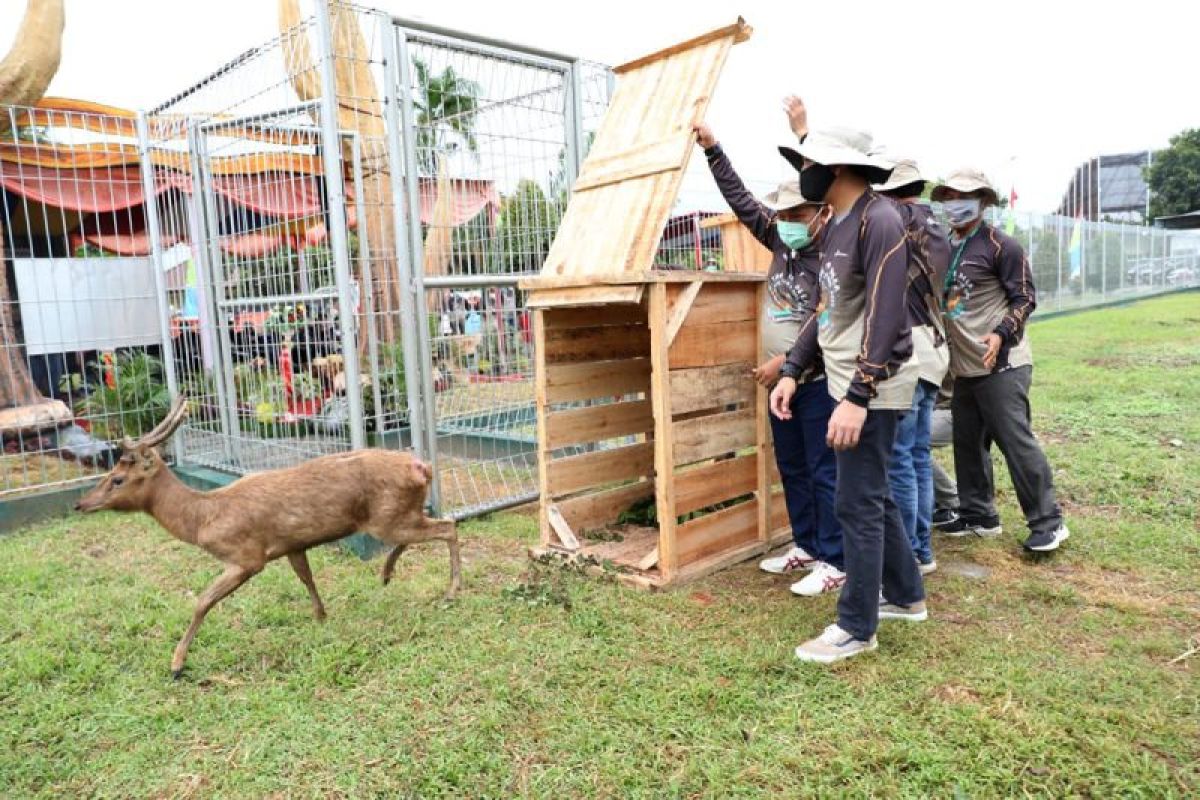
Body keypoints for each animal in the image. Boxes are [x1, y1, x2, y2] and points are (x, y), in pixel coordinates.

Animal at [75, 398, 458, 681]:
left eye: (118, 479)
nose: (81, 504)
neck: (203, 520)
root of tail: (424, 467)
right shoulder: (291, 545)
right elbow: (307, 578)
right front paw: (321, 617)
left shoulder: (247, 556)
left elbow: (202, 601)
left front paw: (176, 664)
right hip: (396, 516)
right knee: (431, 527)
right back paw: (387, 573)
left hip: (388, 518)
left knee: (449, 526)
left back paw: (450, 591)